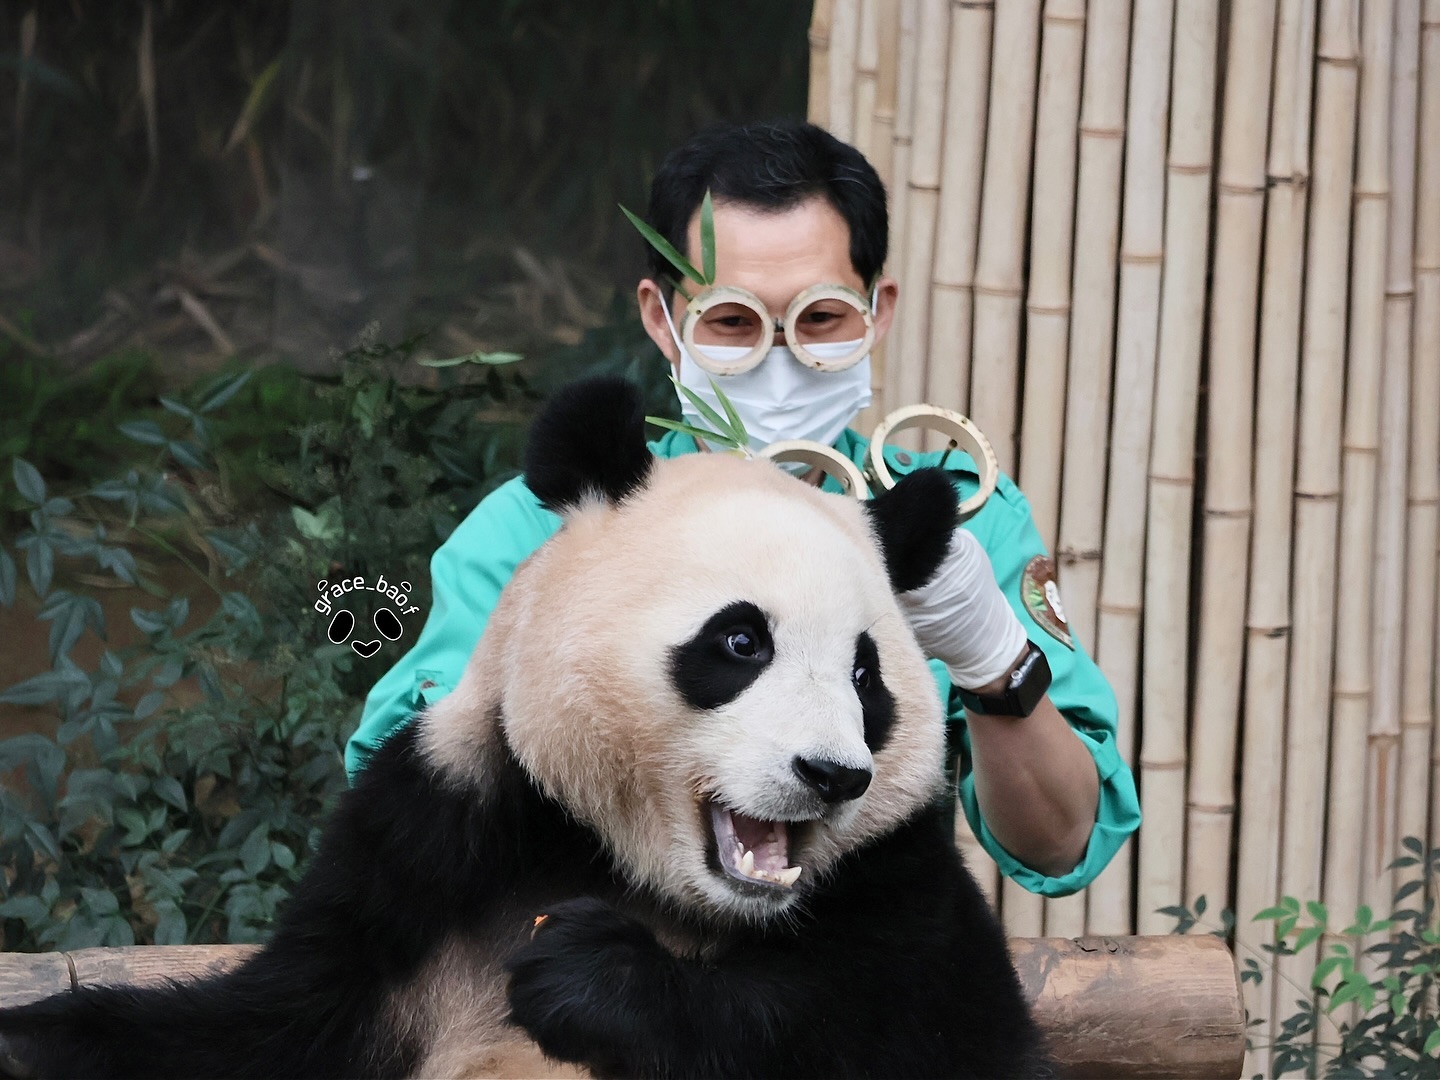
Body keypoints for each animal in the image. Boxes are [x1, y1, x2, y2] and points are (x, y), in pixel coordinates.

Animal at [0, 377, 1059, 1077]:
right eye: (741, 640)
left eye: (865, 675)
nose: (833, 774)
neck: (637, 875)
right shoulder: (434, 840)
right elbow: (268, 1027)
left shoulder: (900, 884)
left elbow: (906, 1032)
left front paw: (593, 978)